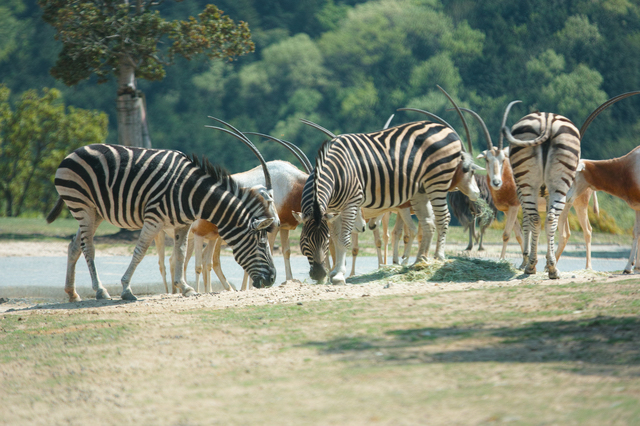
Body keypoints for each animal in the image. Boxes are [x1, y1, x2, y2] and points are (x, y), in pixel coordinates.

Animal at [45, 141, 276, 302]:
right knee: (88, 247)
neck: (191, 192)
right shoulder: (154, 219)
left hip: (96, 211)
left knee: (74, 245)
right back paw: (101, 291)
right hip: (82, 205)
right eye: (262, 244)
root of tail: (74, 152)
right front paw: (126, 289)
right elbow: (140, 252)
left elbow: (180, 254)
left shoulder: (183, 224)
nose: (273, 279)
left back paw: (72, 293)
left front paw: (185, 288)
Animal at [294, 88, 480, 284]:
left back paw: (438, 256)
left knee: (443, 218)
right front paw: (335, 272)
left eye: (324, 240)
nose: (318, 274)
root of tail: (448, 129)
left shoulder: (351, 203)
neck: (337, 172)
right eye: (305, 239)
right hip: (420, 191)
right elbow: (337, 240)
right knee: (428, 223)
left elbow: (344, 240)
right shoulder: (333, 210)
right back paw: (419, 261)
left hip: (437, 182)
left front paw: (338, 276)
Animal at [502, 101, 584, 278]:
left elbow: (526, 223)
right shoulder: (545, 195)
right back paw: (551, 268)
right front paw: (546, 261)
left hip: (528, 186)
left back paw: (531, 266)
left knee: (535, 219)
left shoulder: (521, 194)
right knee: (550, 219)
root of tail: (547, 120)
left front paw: (526, 260)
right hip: (559, 185)